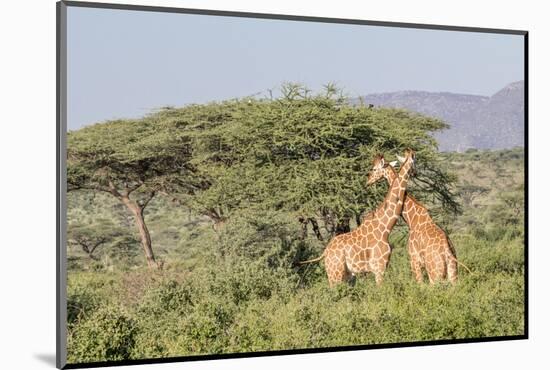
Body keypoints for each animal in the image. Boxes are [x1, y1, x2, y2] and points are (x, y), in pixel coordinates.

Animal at [300, 147, 416, 286]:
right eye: (374, 169)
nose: (367, 181)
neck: (385, 228)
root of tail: (326, 252)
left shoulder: (382, 267)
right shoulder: (379, 268)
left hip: (345, 275)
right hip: (335, 274)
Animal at [366, 155, 470, 284]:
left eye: (374, 169)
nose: (368, 181)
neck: (412, 219)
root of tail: (448, 254)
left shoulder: (414, 259)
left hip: (435, 275)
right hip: (453, 274)